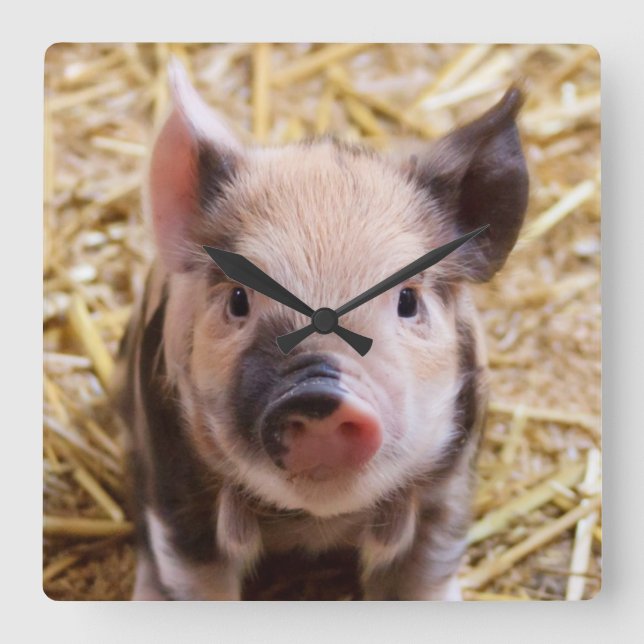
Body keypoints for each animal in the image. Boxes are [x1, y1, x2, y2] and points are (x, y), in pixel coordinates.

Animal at [113, 60, 528, 601]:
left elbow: (424, 571)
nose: (319, 395)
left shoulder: (451, 478)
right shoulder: (175, 478)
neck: (316, 522)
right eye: (239, 299)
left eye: (408, 301)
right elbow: (195, 575)